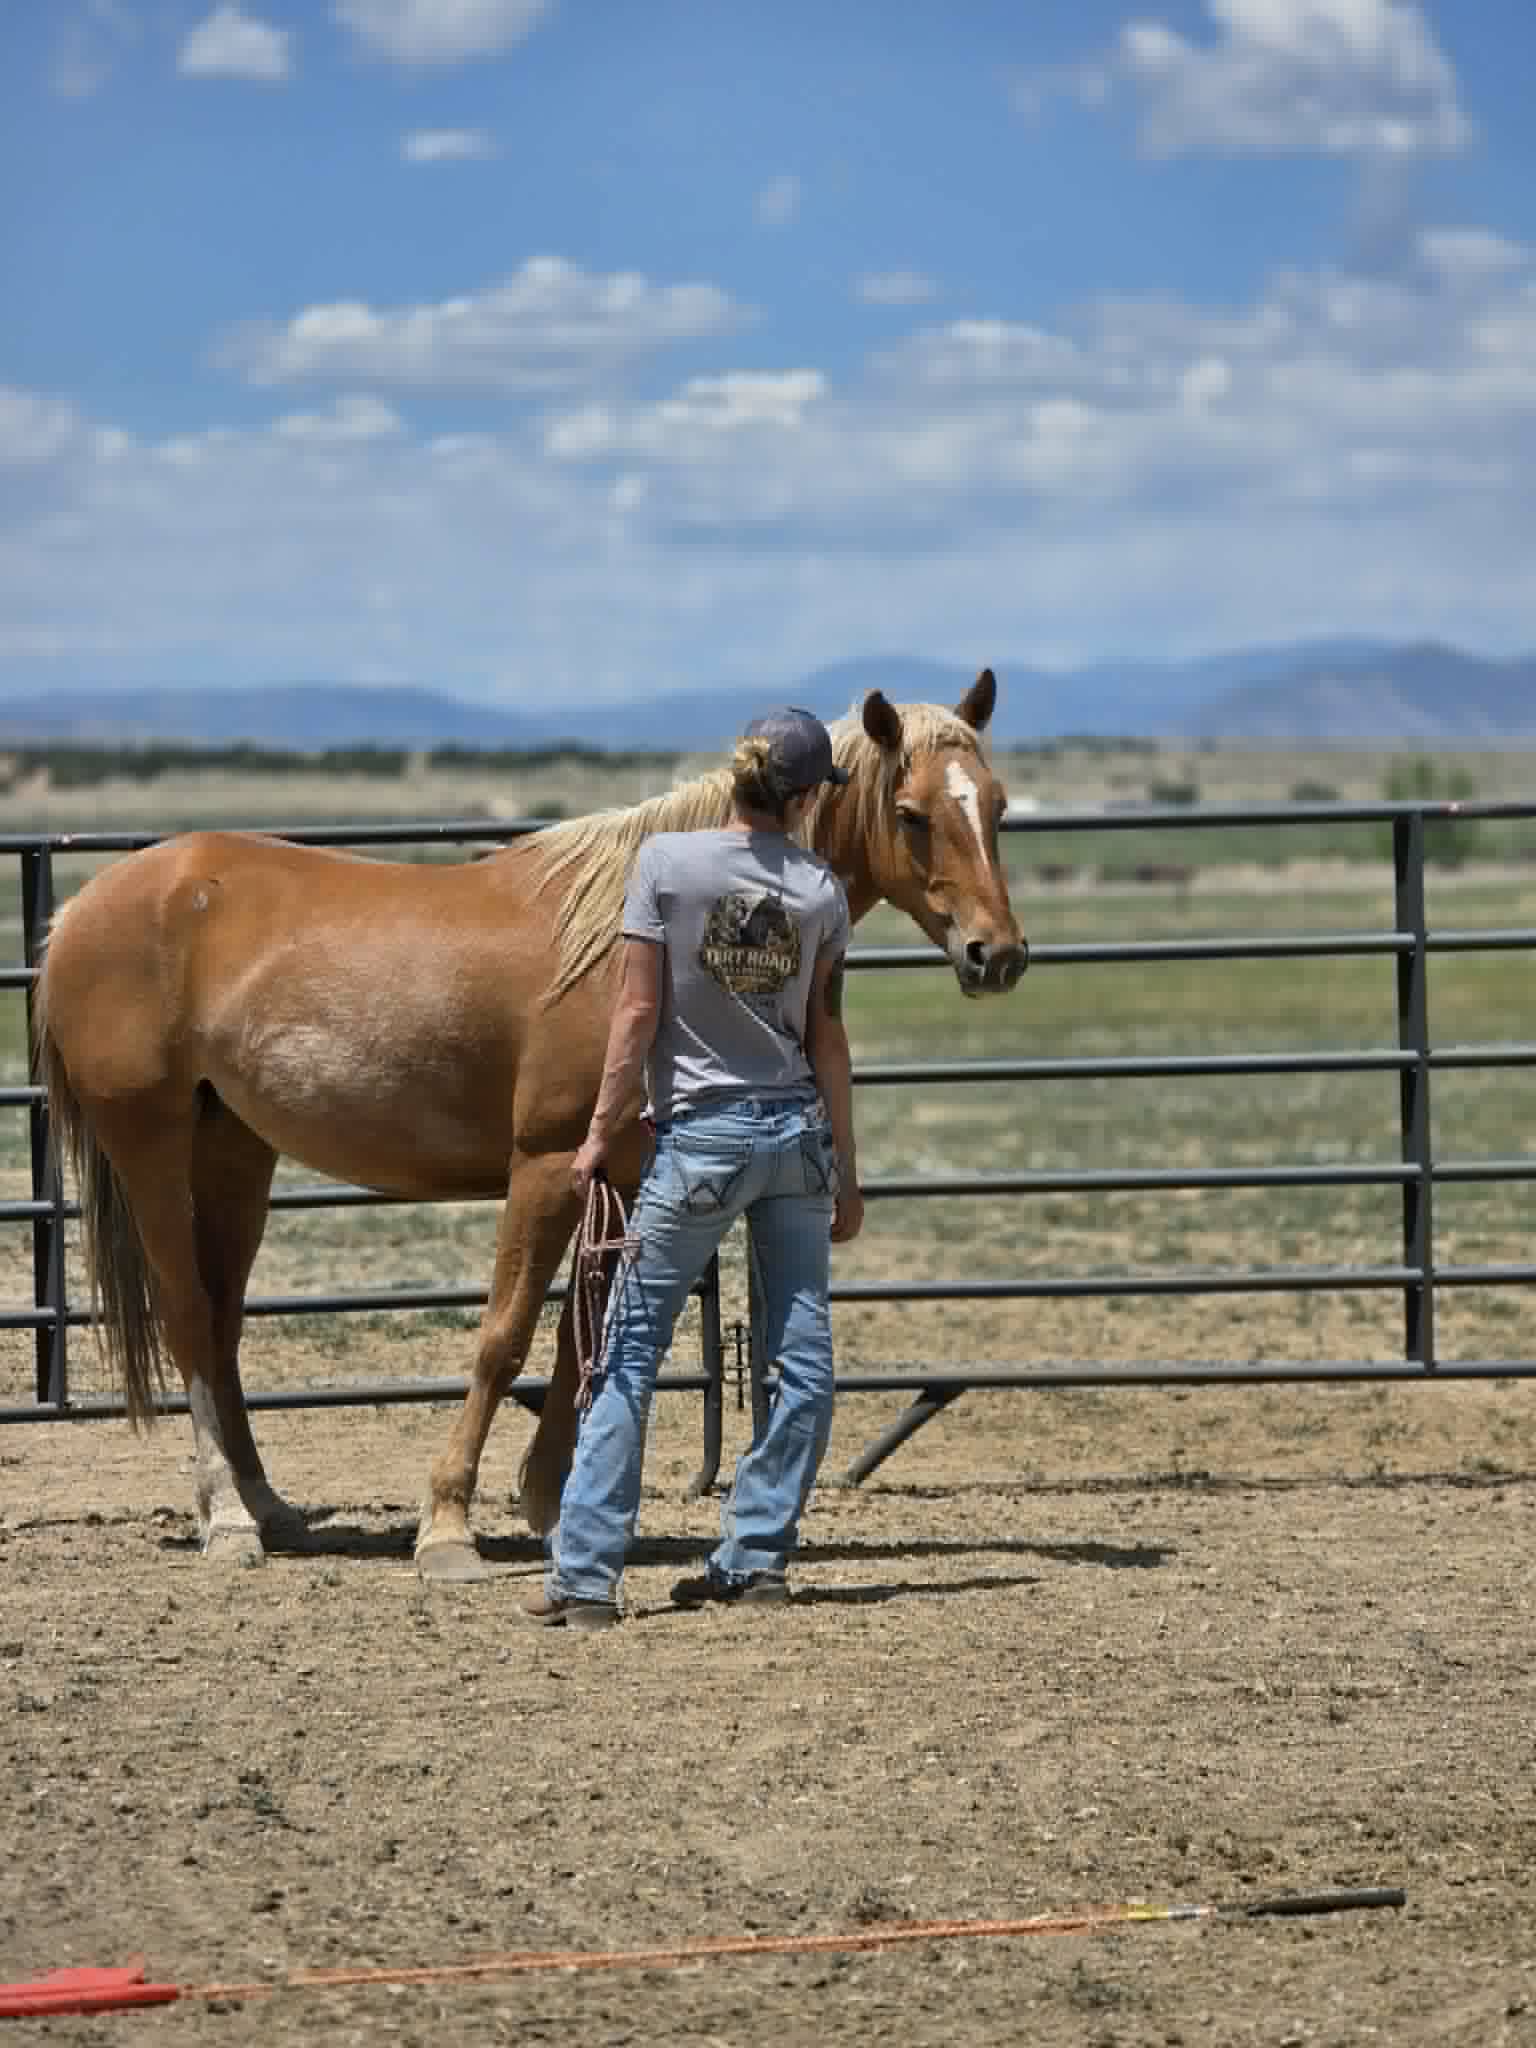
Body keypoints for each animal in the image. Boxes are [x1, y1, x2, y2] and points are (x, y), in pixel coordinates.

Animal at [32, 671, 1028, 1579]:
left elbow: (582, 1337)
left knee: (223, 1321)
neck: (637, 935)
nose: (999, 955)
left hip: (235, 1150)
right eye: (911, 813)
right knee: (187, 1318)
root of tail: (82, 908)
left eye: (998, 807)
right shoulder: (546, 1168)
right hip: (149, 1144)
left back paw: (265, 1505)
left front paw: (551, 1508)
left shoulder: (622, 1175)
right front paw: (447, 1526)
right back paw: (230, 1521)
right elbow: (504, 1337)